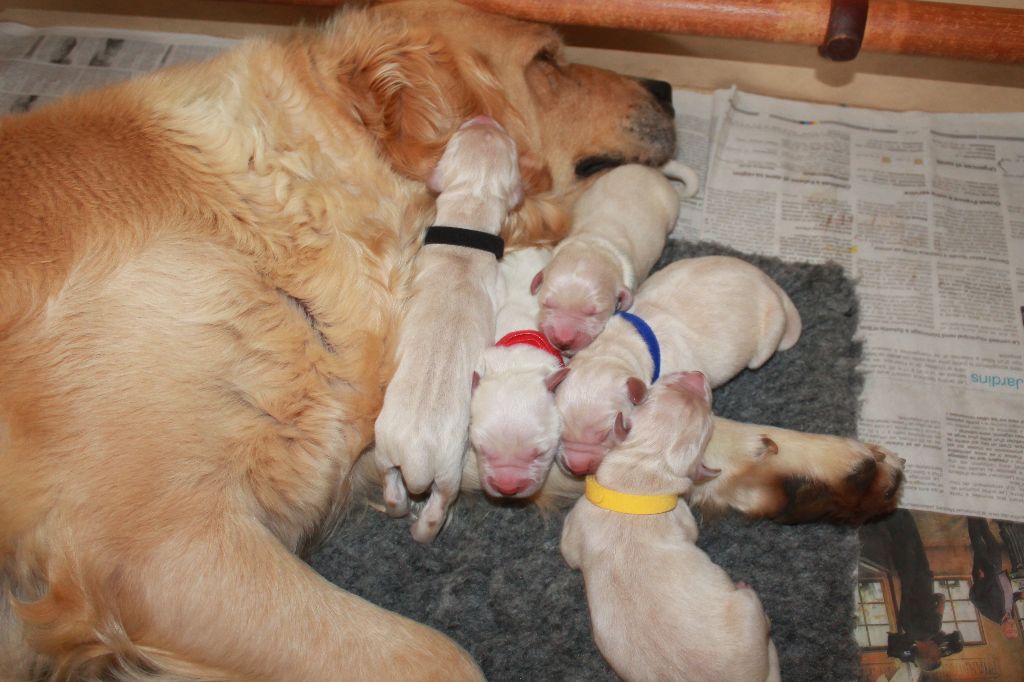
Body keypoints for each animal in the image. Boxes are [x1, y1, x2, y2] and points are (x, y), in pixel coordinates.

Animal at [374, 118, 524, 540]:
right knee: (439, 504)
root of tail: (416, 457)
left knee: (392, 488)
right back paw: (427, 529)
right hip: (448, 470)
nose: (486, 119)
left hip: (383, 447)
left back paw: (398, 510)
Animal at [561, 253, 798, 473]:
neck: (617, 347)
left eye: (604, 434)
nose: (577, 468)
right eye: (561, 432)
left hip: (768, 338)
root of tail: (769, 283)